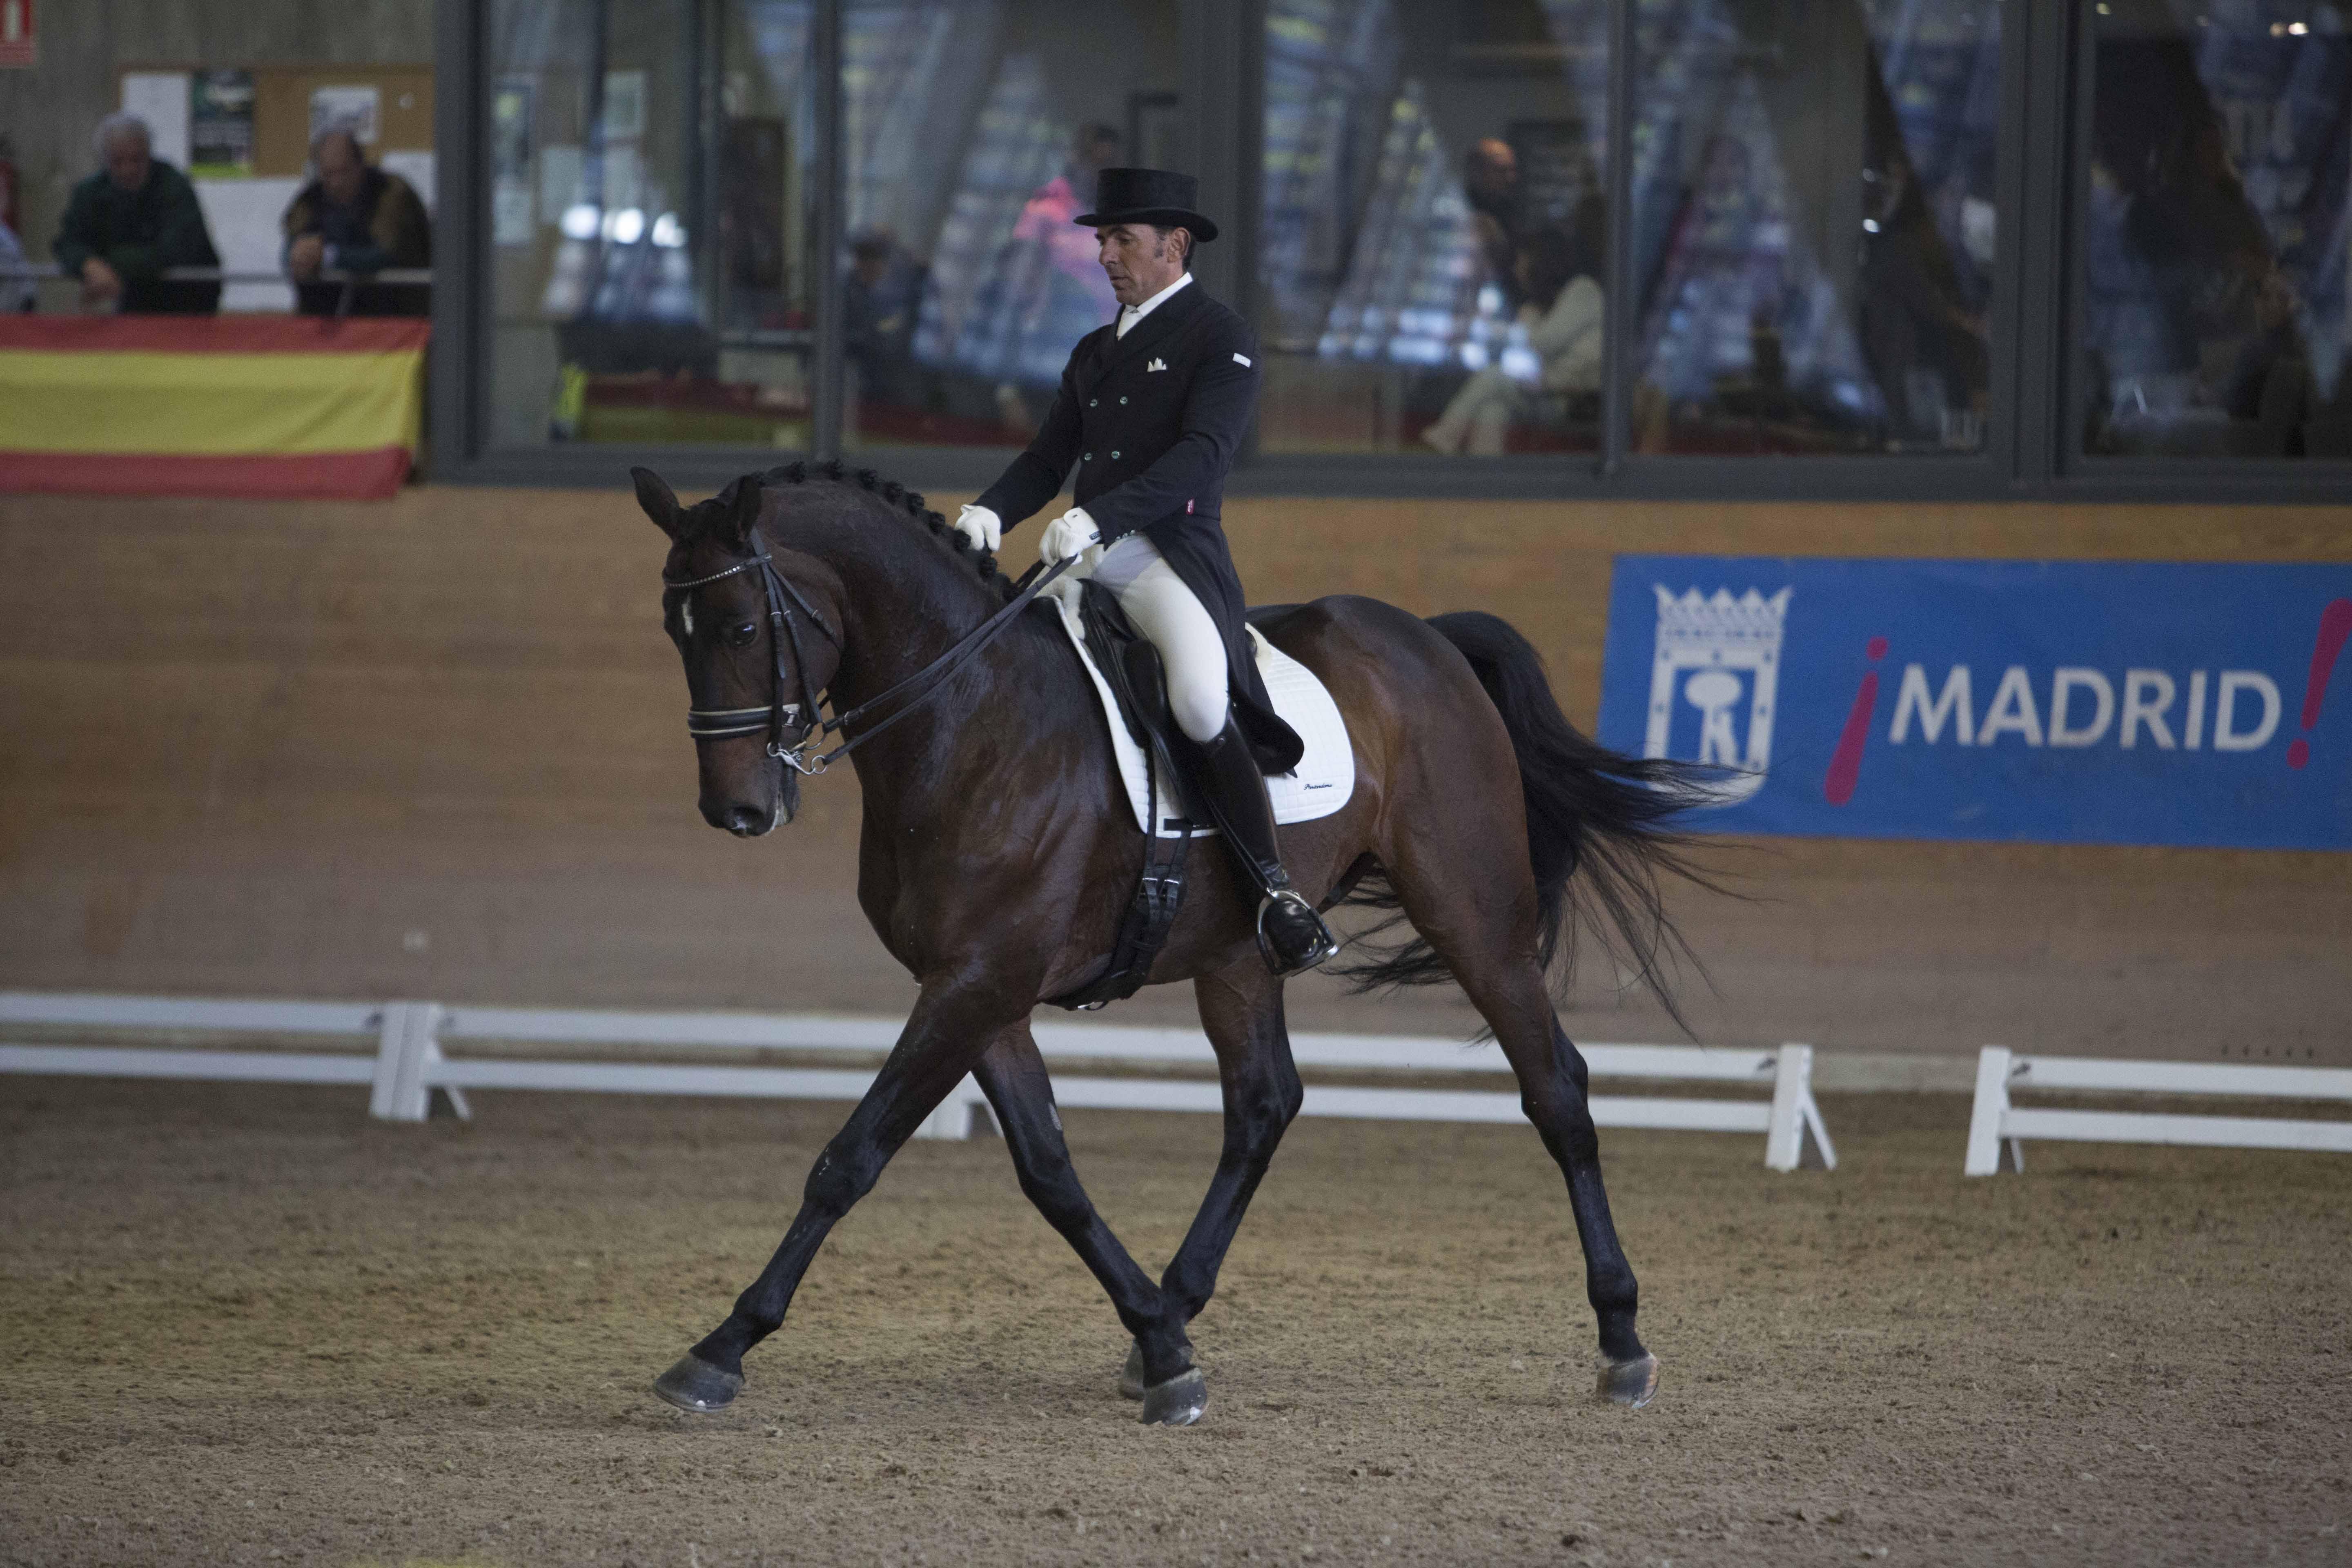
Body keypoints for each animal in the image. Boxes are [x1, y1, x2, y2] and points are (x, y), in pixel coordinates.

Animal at [639, 461, 1712, 1429]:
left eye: (741, 628)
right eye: (673, 631)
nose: (736, 811)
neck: (969, 718)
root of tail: (1426, 638)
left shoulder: (979, 981)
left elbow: (851, 1156)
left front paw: (720, 1347)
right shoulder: (976, 990)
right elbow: (1049, 1172)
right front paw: (1160, 1346)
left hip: (1474, 917)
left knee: (1555, 1088)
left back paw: (1622, 1339)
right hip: (1237, 956)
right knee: (1263, 1105)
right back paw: (1177, 1303)